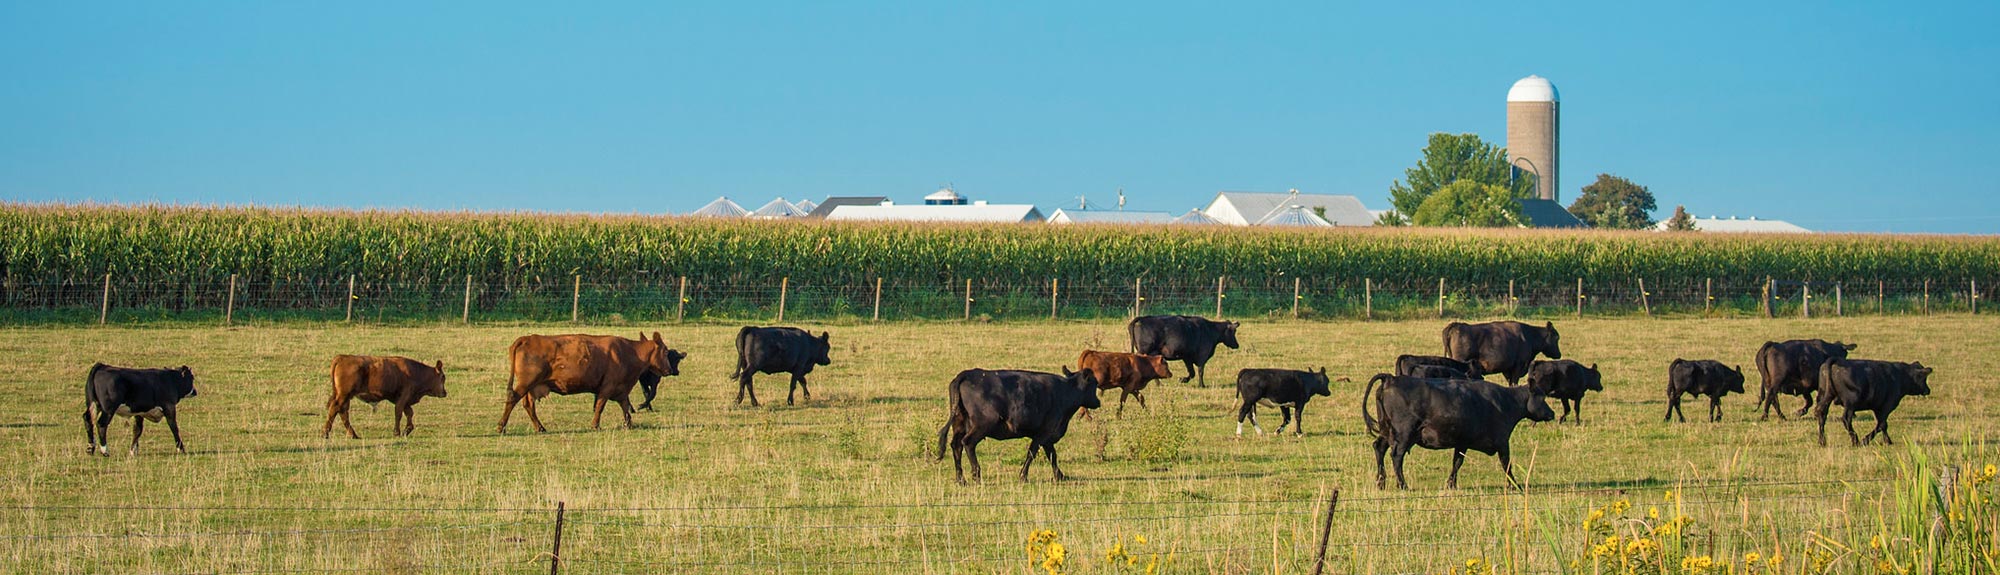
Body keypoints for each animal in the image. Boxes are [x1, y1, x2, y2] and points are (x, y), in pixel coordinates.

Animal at [498, 329, 688, 433]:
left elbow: (625, 407)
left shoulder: (621, 389)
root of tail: (527, 338)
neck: (630, 352)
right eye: (665, 351)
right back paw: (501, 427)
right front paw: (595, 425)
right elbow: (600, 406)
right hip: (525, 383)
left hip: (531, 387)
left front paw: (629, 424)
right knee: (512, 400)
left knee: (528, 405)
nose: (671, 370)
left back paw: (540, 427)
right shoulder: (607, 387)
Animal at [932, 365, 1104, 483]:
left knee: (956, 445)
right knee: (967, 443)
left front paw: (1060, 475)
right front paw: (1023, 476)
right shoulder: (1045, 432)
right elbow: (1032, 453)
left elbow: (1052, 455)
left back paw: (961, 479)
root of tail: (967, 374)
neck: (1065, 391)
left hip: (959, 422)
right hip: (982, 424)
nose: (1098, 402)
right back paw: (976, 475)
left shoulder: (1047, 435)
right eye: (1094, 383)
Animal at [1360, 373, 1560, 489]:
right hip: (1403, 433)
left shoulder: (1462, 441)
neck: (1506, 402)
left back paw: (1381, 482)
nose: (1552, 413)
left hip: (1387, 431)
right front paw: (1514, 485)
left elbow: (1457, 462)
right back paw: (1402, 485)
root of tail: (1391, 378)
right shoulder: (1503, 442)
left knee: (1379, 448)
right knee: (1397, 456)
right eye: (1541, 397)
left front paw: (1451, 484)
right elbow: (1506, 463)